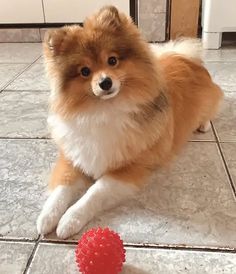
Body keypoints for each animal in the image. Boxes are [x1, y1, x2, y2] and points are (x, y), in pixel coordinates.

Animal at [37, 5, 223, 239]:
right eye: (85, 71)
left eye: (112, 60)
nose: (105, 82)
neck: (103, 110)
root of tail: (183, 57)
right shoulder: (73, 156)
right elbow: (61, 190)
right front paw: (46, 217)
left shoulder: (129, 168)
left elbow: (94, 192)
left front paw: (70, 220)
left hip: (208, 102)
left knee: (210, 112)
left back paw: (204, 125)